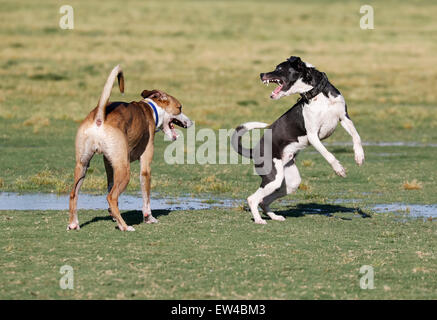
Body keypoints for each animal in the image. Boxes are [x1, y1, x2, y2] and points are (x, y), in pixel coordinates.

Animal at [67, 65, 191, 231]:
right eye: (180, 108)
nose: (190, 122)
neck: (150, 109)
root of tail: (100, 117)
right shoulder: (145, 167)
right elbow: (146, 198)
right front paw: (149, 218)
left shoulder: (109, 164)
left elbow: (110, 184)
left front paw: (112, 215)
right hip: (124, 170)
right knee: (111, 197)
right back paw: (125, 226)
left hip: (83, 166)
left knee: (74, 194)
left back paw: (74, 223)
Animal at [232, 56, 364, 224]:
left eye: (279, 68)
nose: (261, 74)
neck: (318, 95)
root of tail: (254, 150)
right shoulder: (313, 135)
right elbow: (327, 154)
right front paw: (338, 169)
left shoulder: (344, 118)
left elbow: (356, 137)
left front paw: (359, 156)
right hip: (273, 177)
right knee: (252, 198)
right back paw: (259, 220)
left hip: (289, 182)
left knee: (263, 200)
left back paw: (275, 217)